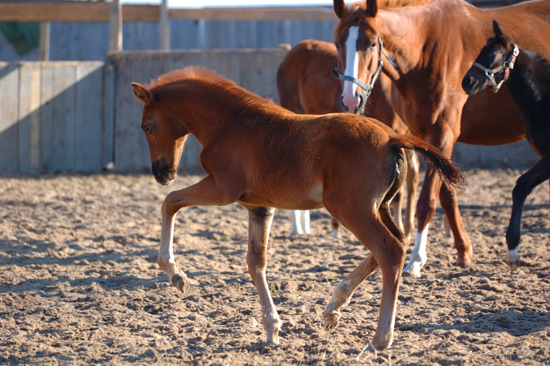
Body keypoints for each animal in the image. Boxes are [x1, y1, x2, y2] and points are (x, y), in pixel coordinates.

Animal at [134, 66, 466, 348]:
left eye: (147, 126)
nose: (162, 173)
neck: (230, 124)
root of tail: (392, 138)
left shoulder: (223, 189)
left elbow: (170, 203)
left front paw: (175, 274)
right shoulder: (258, 206)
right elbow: (255, 262)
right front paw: (272, 328)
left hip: (350, 208)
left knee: (389, 249)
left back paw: (381, 338)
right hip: (377, 206)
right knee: (398, 240)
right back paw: (334, 307)